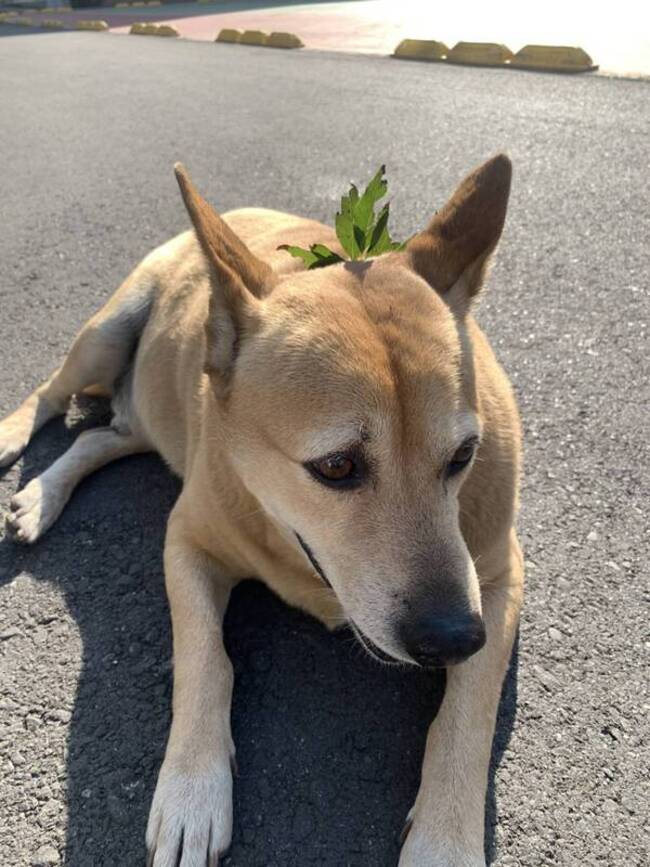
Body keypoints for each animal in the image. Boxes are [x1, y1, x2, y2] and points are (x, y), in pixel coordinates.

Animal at [0, 156, 520, 867]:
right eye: (336, 467)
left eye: (464, 455)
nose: (452, 639)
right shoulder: (187, 544)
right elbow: (204, 658)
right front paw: (193, 789)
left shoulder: (496, 579)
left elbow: (468, 716)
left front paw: (444, 840)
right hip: (105, 334)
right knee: (52, 393)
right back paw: (16, 449)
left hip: (148, 415)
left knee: (98, 436)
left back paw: (44, 493)